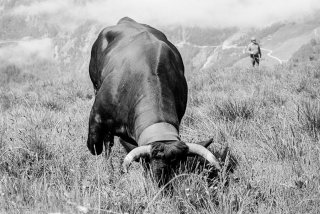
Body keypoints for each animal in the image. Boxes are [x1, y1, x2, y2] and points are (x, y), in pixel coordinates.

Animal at [86, 17, 221, 183]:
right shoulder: (97, 119)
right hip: (95, 84)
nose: (162, 184)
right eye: (152, 165)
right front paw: (109, 174)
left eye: (180, 166)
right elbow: (100, 146)